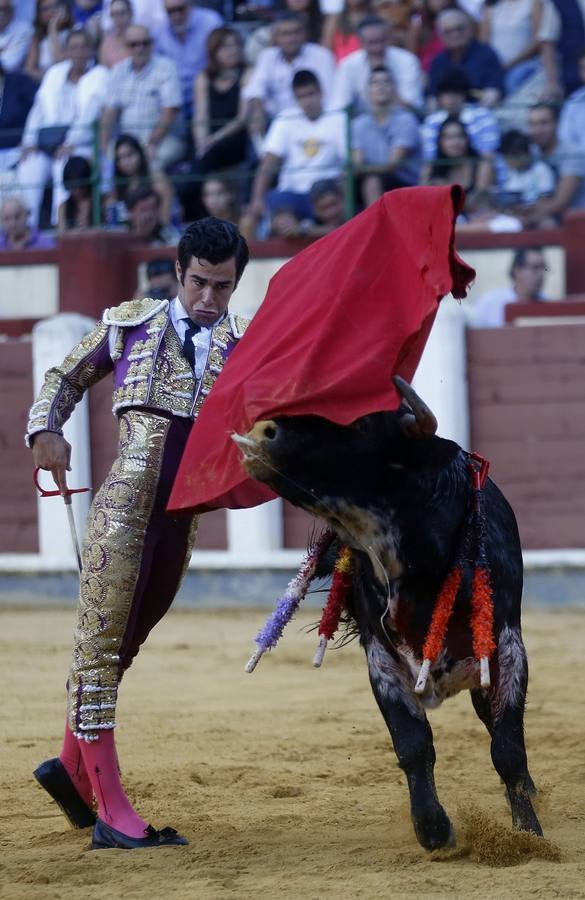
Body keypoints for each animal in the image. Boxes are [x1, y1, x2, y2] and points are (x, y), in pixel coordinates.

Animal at [230, 378, 540, 852]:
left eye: (359, 425)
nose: (262, 431)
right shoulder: (381, 656)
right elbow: (413, 744)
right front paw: (434, 831)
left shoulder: (505, 647)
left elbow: (507, 747)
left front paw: (529, 835)